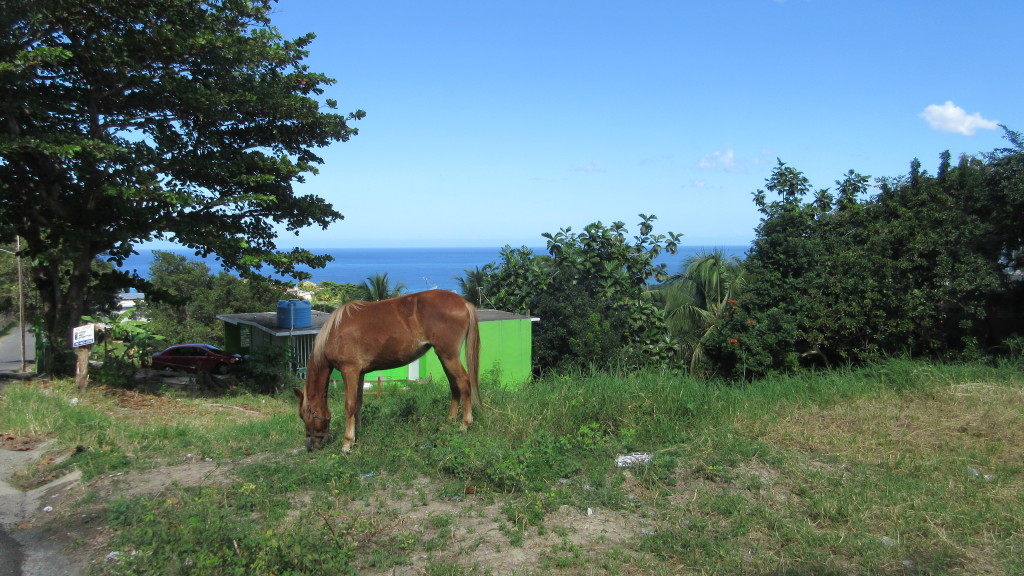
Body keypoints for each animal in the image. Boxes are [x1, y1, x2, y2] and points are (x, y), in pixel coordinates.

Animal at [294, 289, 481, 450]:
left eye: (305, 416)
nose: (310, 445)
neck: (335, 332)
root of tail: (463, 303)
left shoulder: (350, 371)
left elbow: (349, 405)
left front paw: (347, 443)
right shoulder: (360, 373)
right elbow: (359, 403)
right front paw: (356, 435)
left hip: (448, 356)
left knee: (464, 383)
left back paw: (464, 424)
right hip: (445, 357)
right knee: (455, 387)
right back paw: (449, 423)